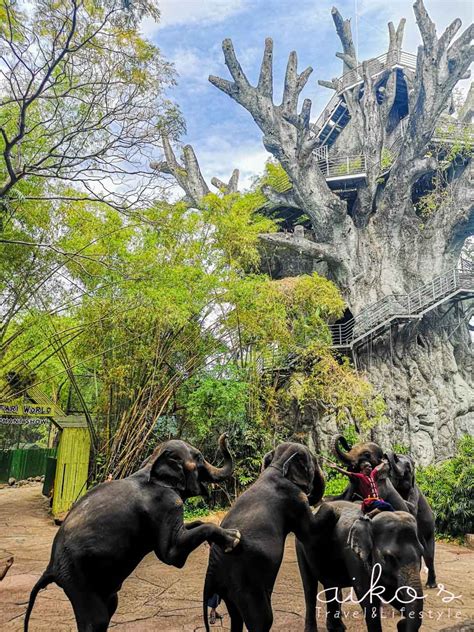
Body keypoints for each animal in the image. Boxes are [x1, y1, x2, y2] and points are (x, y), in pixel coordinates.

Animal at [25, 434, 241, 632]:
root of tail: (50, 569)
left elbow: (190, 527)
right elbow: (171, 555)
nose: (225, 437)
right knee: (97, 620)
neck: (151, 464)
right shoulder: (166, 504)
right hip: (77, 578)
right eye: (199, 457)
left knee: (110, 607)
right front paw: (234, 538)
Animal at [202, 442, 336, 632]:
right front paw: (333, 509)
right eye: (314, 462)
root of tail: (211, 571)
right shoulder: (295, 499)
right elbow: (309, 532)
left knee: (236, 617)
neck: (278, 465)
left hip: (230, 591)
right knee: (262, 620)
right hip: (247, 586)